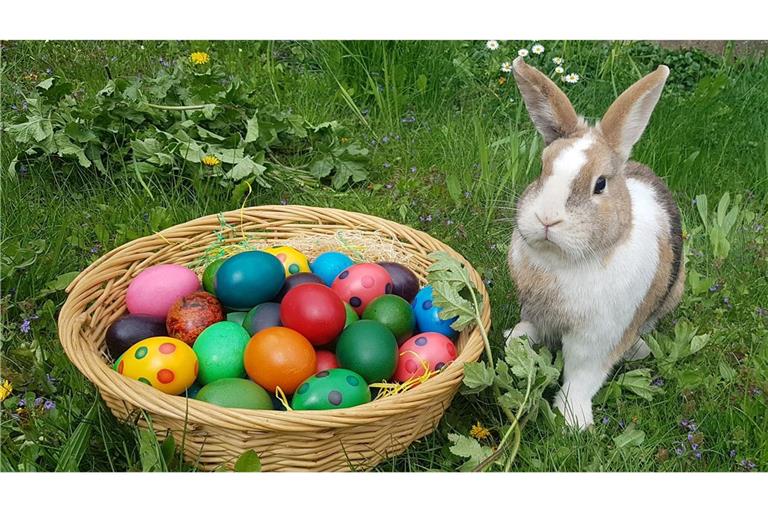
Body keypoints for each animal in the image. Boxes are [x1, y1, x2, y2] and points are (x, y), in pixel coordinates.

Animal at [504, 58, 684, 430]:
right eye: (541, 170)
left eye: (600, 184)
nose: (547, 218)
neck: (564, 262)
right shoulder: (535, 307)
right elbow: (533, 325)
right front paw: (515, 341)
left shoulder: (599, 337)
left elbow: (582, 375)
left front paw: (573, 420)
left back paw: (639, 350)